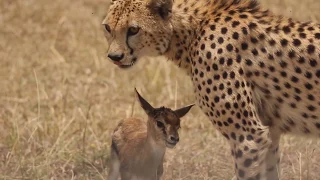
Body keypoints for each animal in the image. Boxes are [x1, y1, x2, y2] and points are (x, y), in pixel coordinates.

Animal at [103, 0, 320, 179]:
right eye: (107, 27)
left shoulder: (249, 137)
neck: (189, 31)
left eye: (133, 29)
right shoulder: (269, 133)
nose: (114, 57)